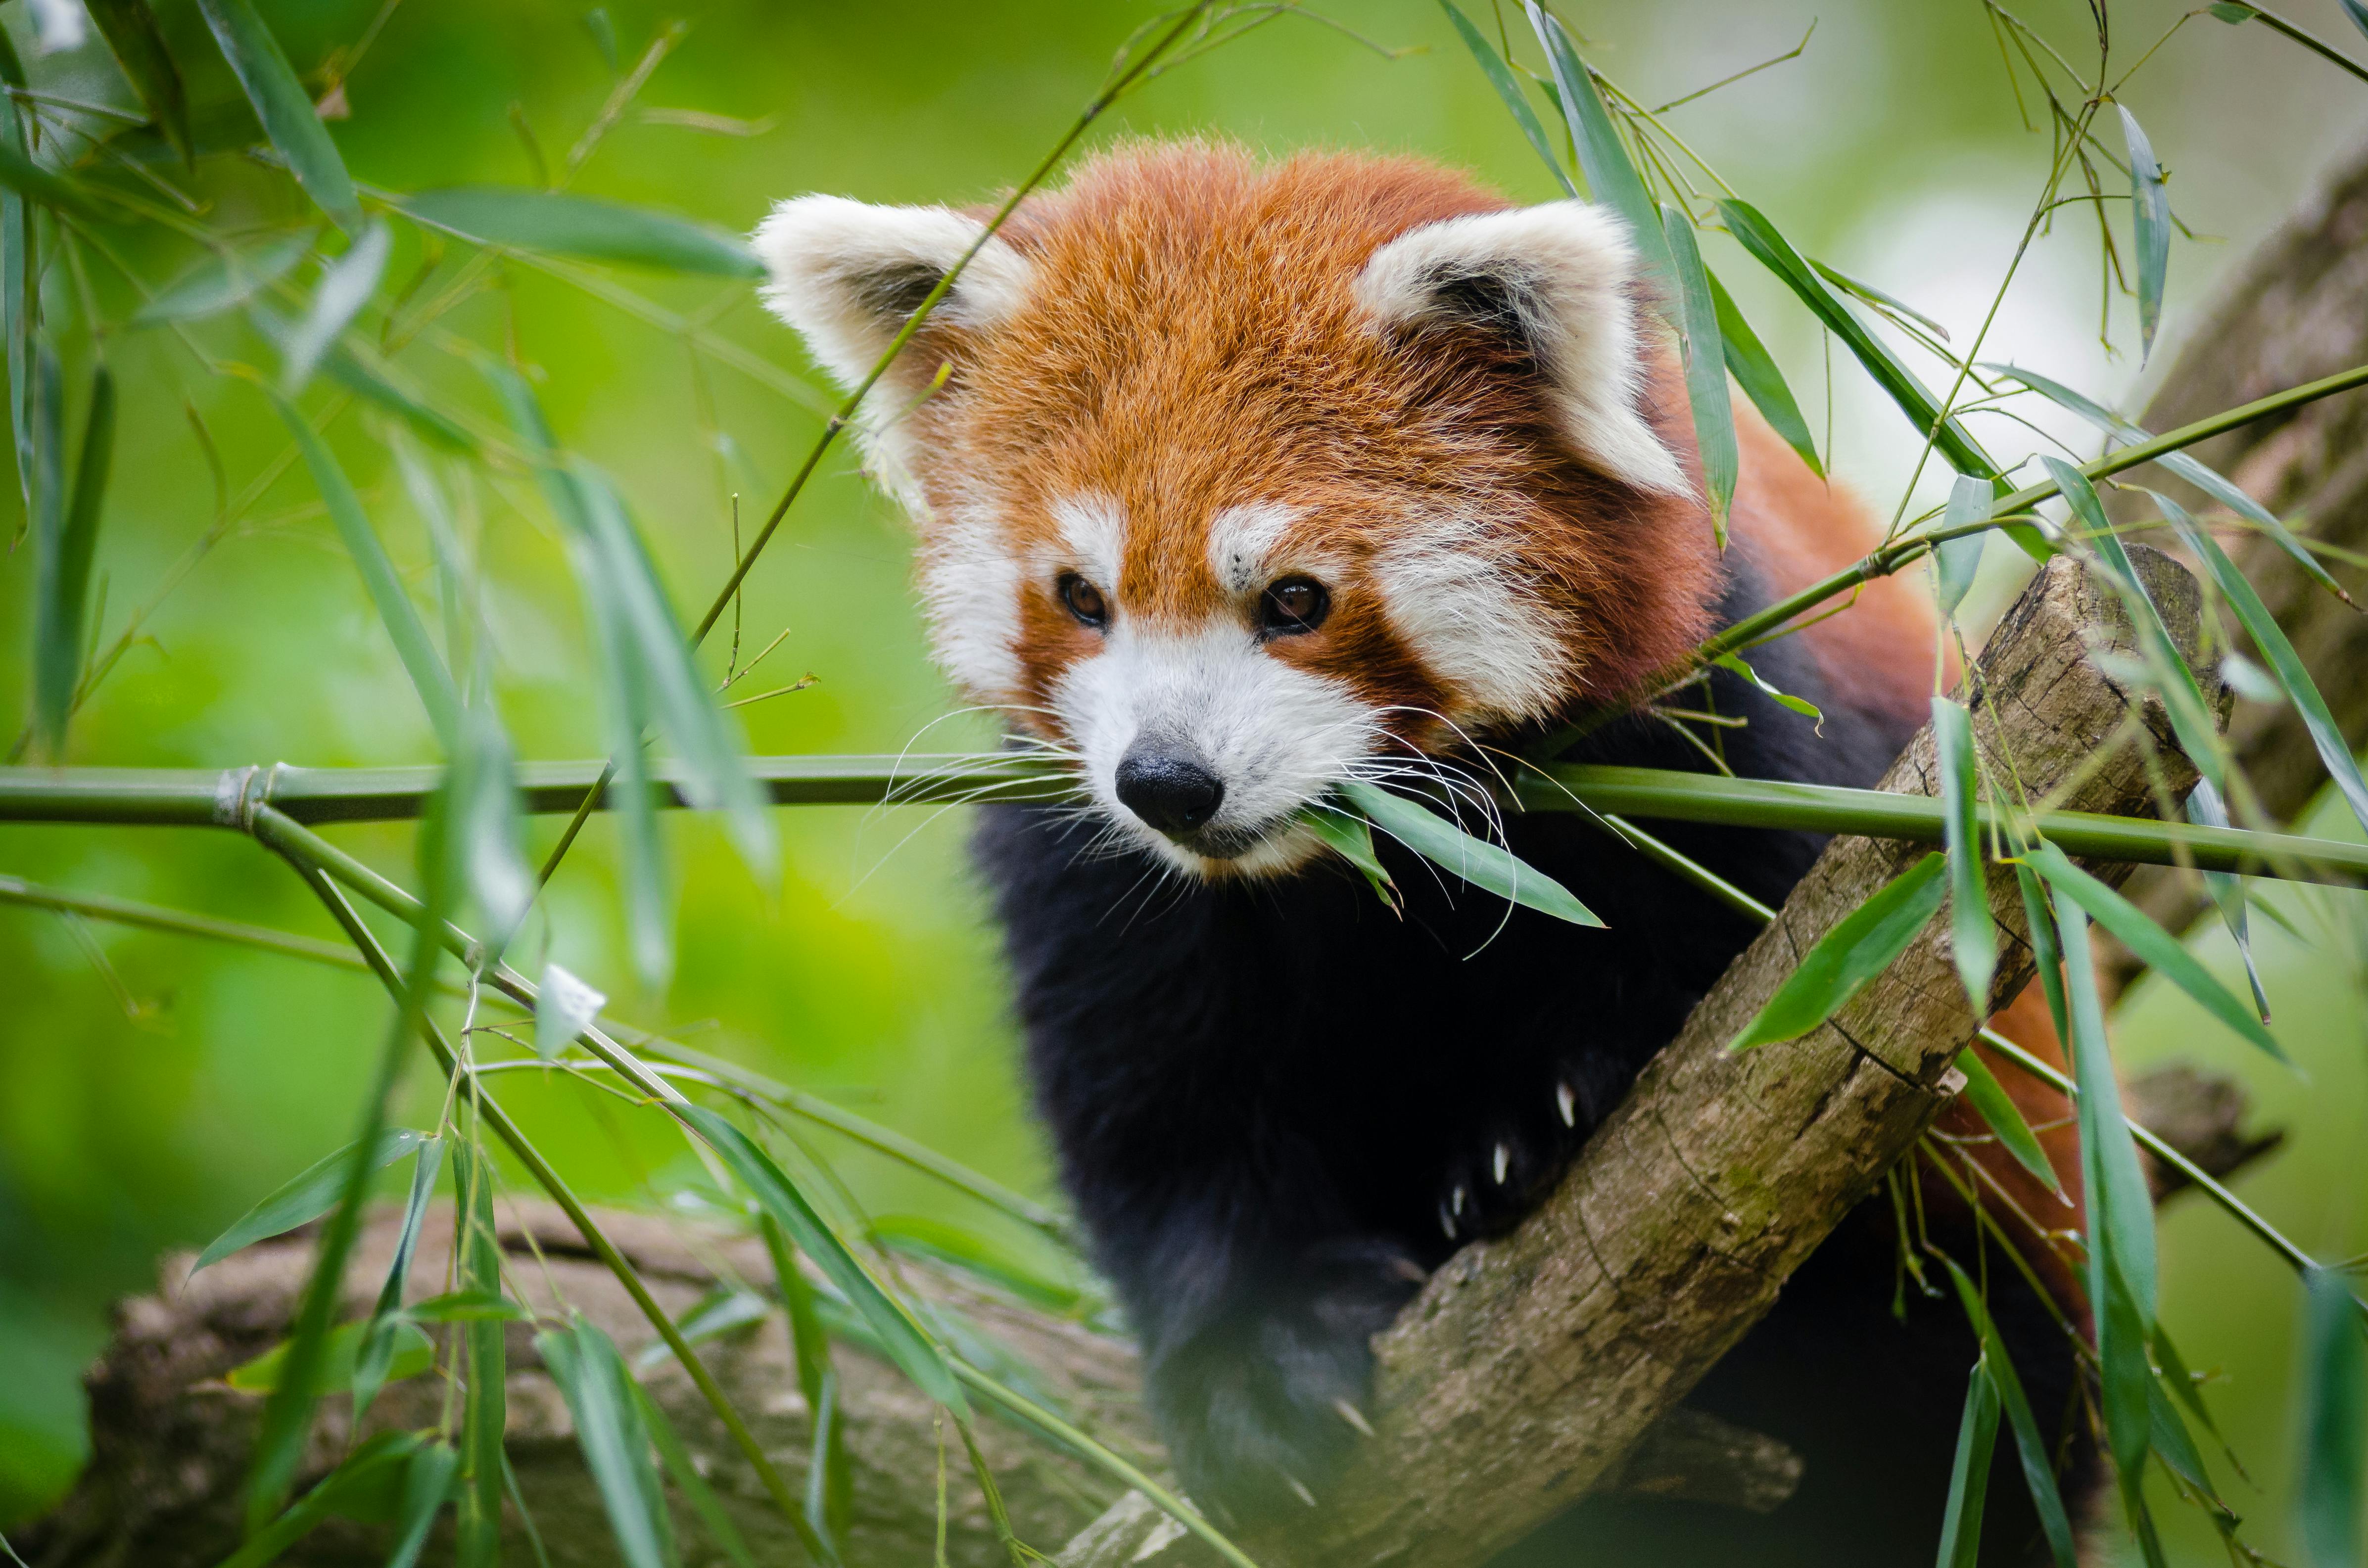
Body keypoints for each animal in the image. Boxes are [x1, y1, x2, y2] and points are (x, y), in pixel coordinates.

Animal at [753, 144, 2093, 1568]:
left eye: (1293, 599)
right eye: (1081, 598)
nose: (1167, 782)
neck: (1344, 866)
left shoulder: (1743, 731)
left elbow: (1781, 997)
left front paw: (1545, 1115)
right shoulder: (1096, 874)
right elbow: (1157, 1120)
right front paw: (1257, 1362)